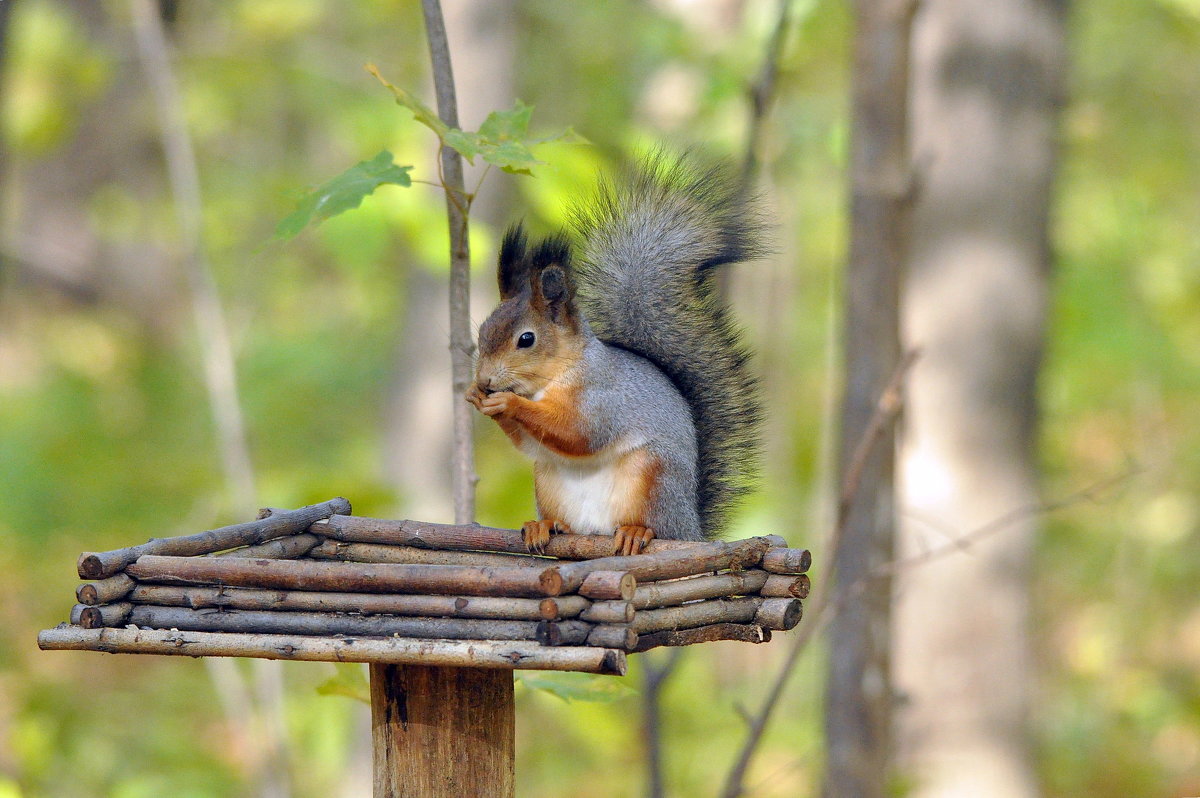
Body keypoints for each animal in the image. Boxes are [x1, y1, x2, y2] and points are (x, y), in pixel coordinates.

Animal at [465, 153, 758, 554]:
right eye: (482, 331)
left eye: (526, 339)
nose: (485, 380)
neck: (557, 374)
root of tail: (692, 529)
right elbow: (529, 442)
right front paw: (476, 396)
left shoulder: (603, 398)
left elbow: (579, 433)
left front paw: (507, 403)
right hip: (547, 478)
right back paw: (545, 526)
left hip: (654, 475)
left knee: (656, 525)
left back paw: (637, 532)